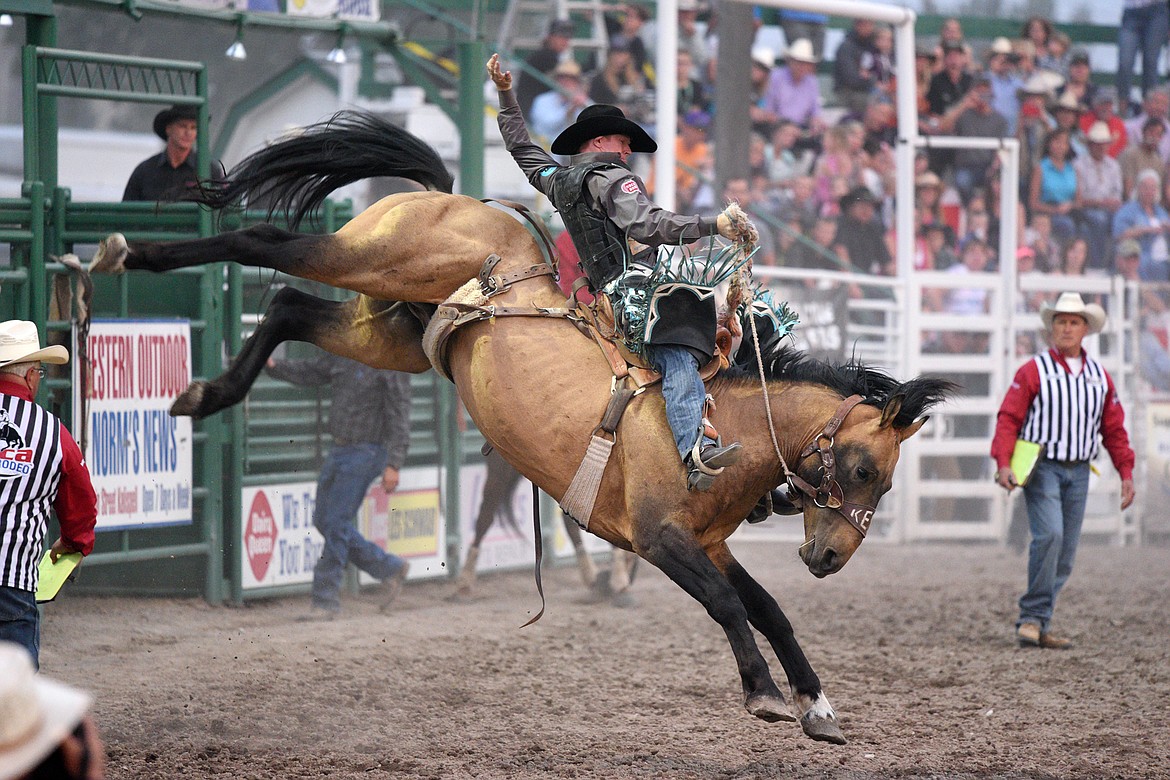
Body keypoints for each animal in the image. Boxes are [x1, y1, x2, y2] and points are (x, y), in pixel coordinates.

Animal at [88, 111, 950, 743]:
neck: (723, 419)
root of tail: (455, 195)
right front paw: (767, 696)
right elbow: (729, 607)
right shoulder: (661, 539)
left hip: (390, 332)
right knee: (264, 244)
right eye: (866, 469)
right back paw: (125, 252)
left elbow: (768, 608)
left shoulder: (708, 544)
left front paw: (818, 706)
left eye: (883, 482)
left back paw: (206, 393)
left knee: (290, 308)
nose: (831, 556)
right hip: (375, 258)